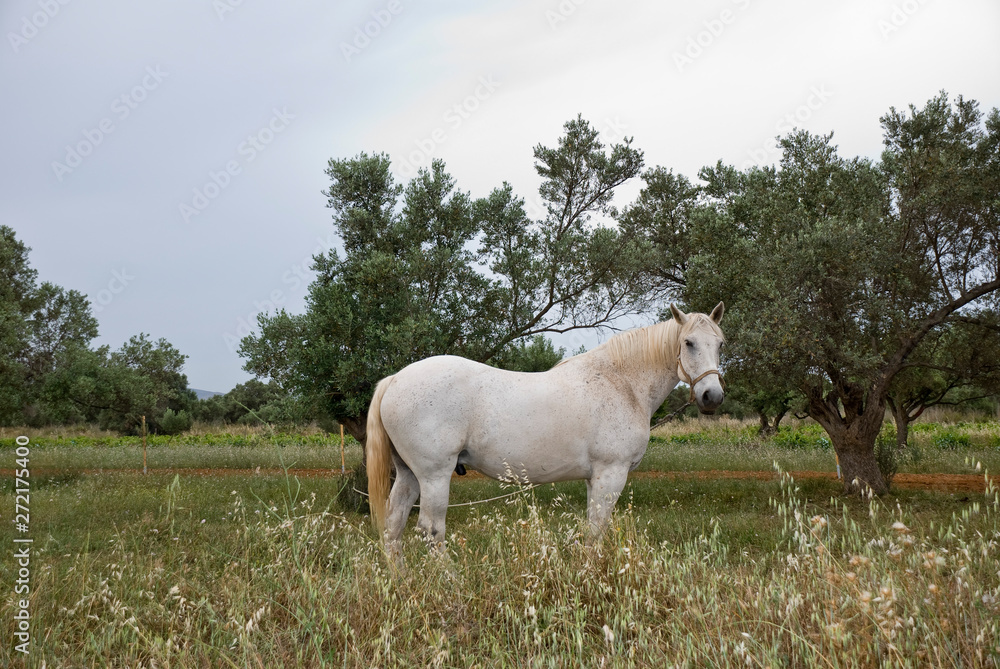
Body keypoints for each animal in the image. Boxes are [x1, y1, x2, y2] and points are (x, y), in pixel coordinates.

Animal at [366, 302, 726, 554]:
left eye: (720, 344)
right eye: (689, 342)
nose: (712, 396)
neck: (622, 382)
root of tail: (395, 379)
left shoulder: (595, 478)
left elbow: (592, 529)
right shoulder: (611, 473)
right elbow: (597, 529)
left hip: (409, 475)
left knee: (394, 527)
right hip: (434, 476)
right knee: (431, 529)